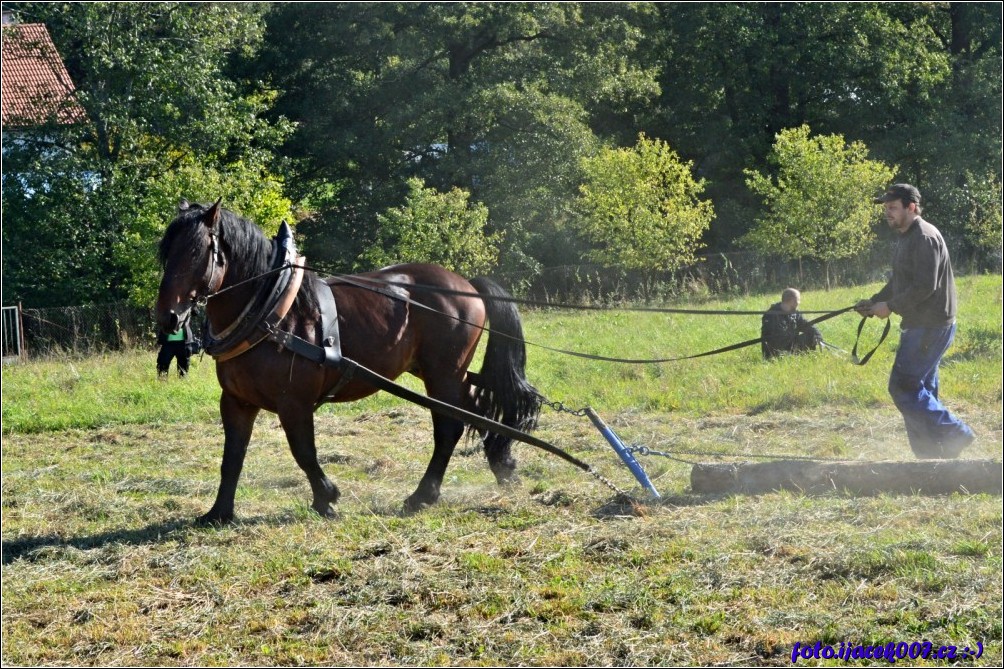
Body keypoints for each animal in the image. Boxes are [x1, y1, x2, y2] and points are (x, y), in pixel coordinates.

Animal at [154, 197, 542, 522]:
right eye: (166, 251)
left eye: (196, 251)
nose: (168, 318)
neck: (270, 309)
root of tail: (467, 285)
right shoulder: (236, 401)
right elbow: (232, 457)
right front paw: (219, 512)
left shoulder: (294, 402)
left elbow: (304, 451)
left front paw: (326, 497)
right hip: (441, 373)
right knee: (478, 410)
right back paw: (502, 465)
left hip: (443, 373)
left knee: (450, 426)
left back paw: (422, 496)